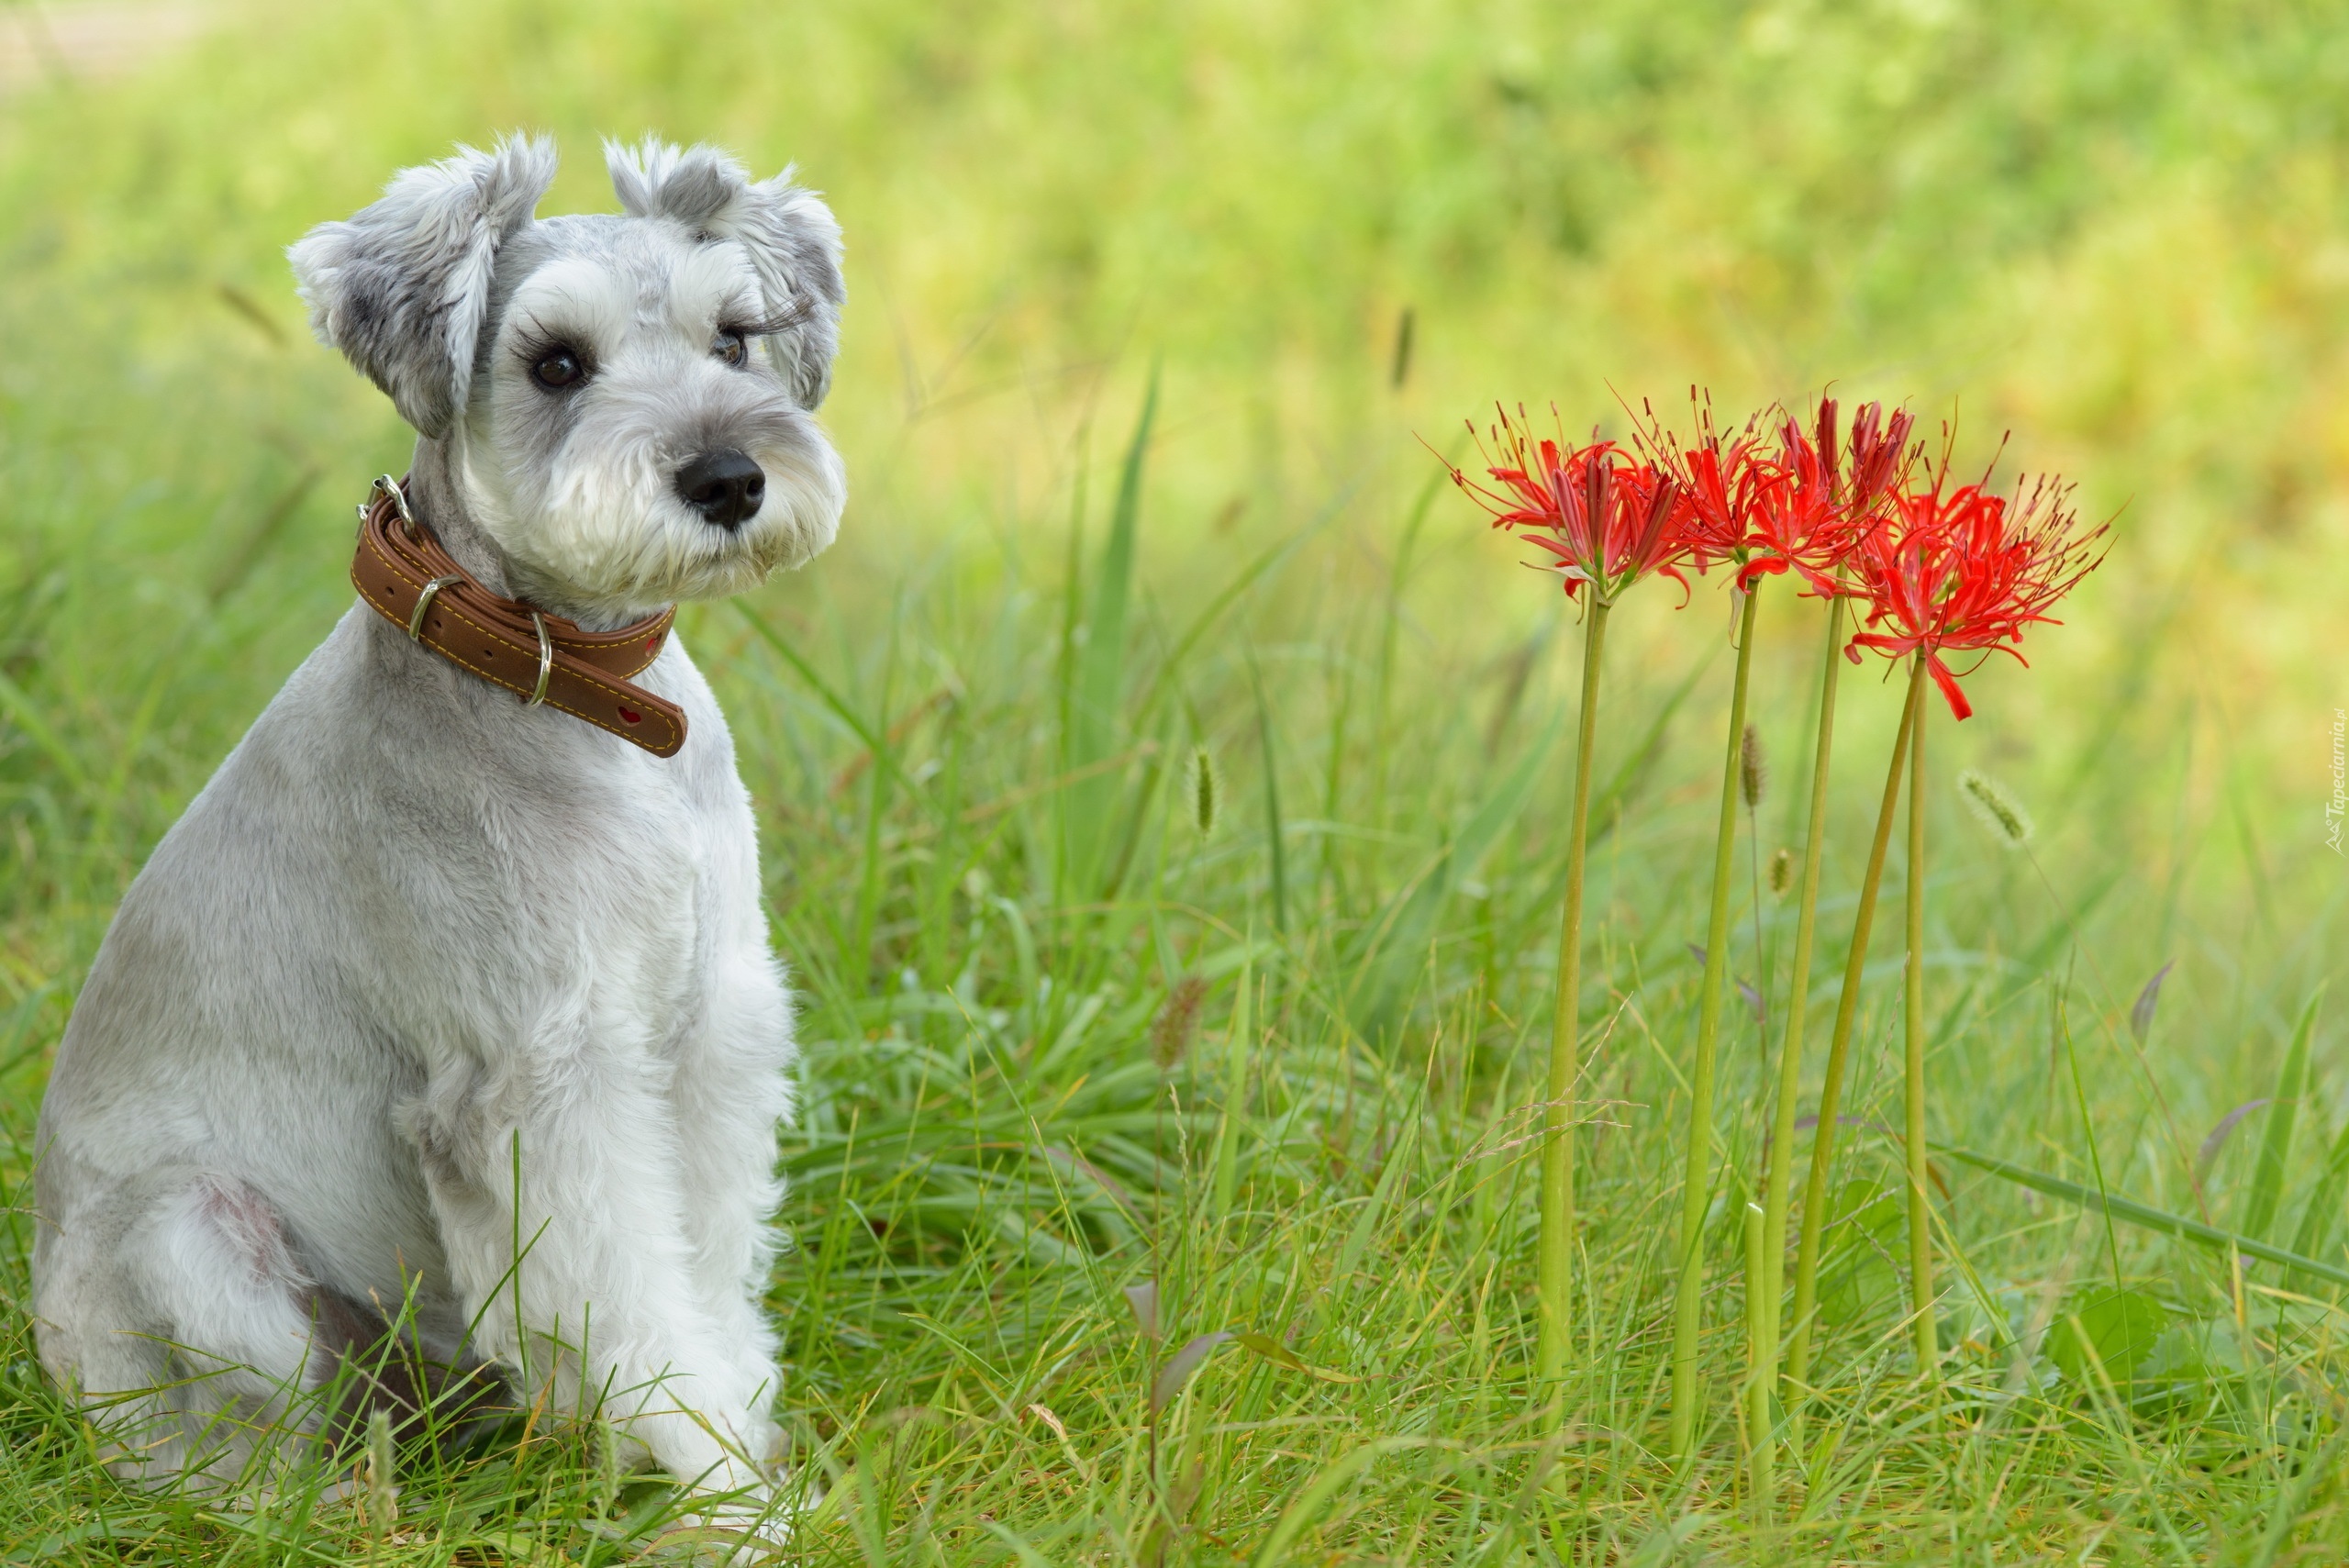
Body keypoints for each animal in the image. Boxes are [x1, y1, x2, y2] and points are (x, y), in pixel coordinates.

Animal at [25, 138, 845, 1530]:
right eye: (555, 362)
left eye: (734, 337)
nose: (730, 479)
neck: (574, 691)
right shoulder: (539, 1081)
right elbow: (643, 1312)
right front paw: (732, 1509)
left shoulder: (707, 1037)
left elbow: (706, 1277)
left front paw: (739, 1453)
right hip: (197, 1236)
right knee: (230, 1456)